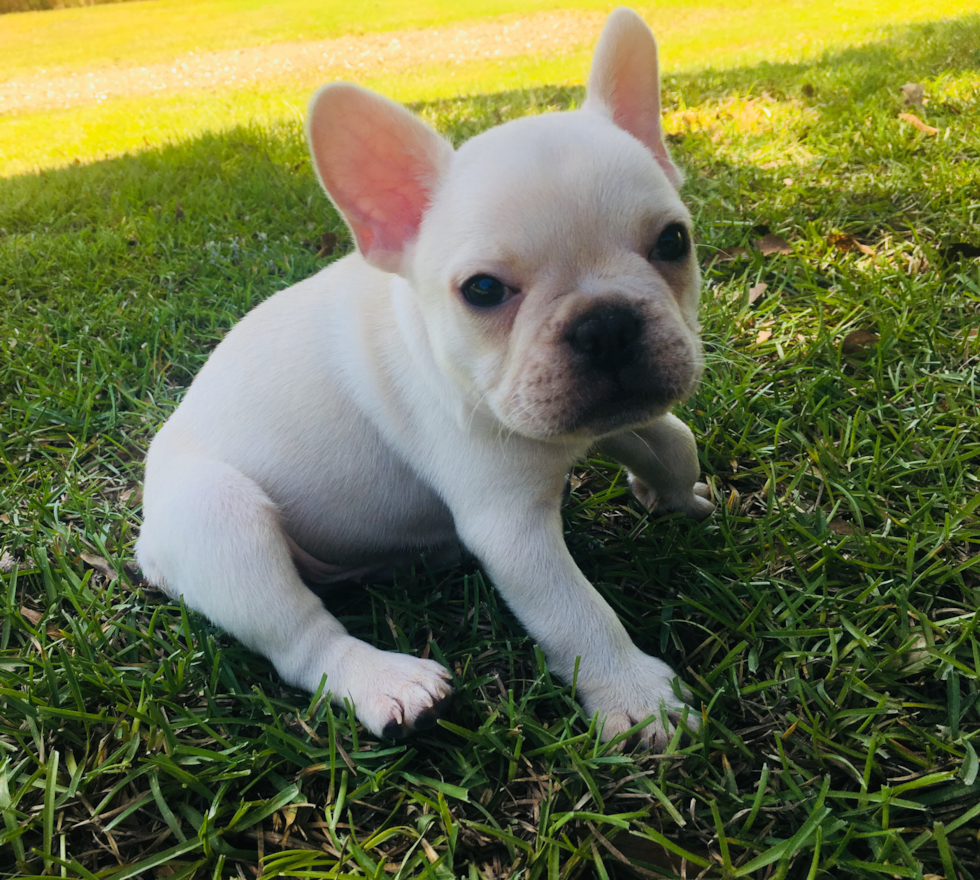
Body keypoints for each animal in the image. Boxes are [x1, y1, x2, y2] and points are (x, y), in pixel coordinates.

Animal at [136, 8, 712, 748]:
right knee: (300, 638)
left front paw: (671, 493)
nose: (604, 323)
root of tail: (148, 541)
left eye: (673, 242)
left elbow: (673, 439)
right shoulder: (509, 523)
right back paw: (388, 683)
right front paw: (637, 698)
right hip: (219, 519)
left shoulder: (592, 417)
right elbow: (577, 612)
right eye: (484, 290)